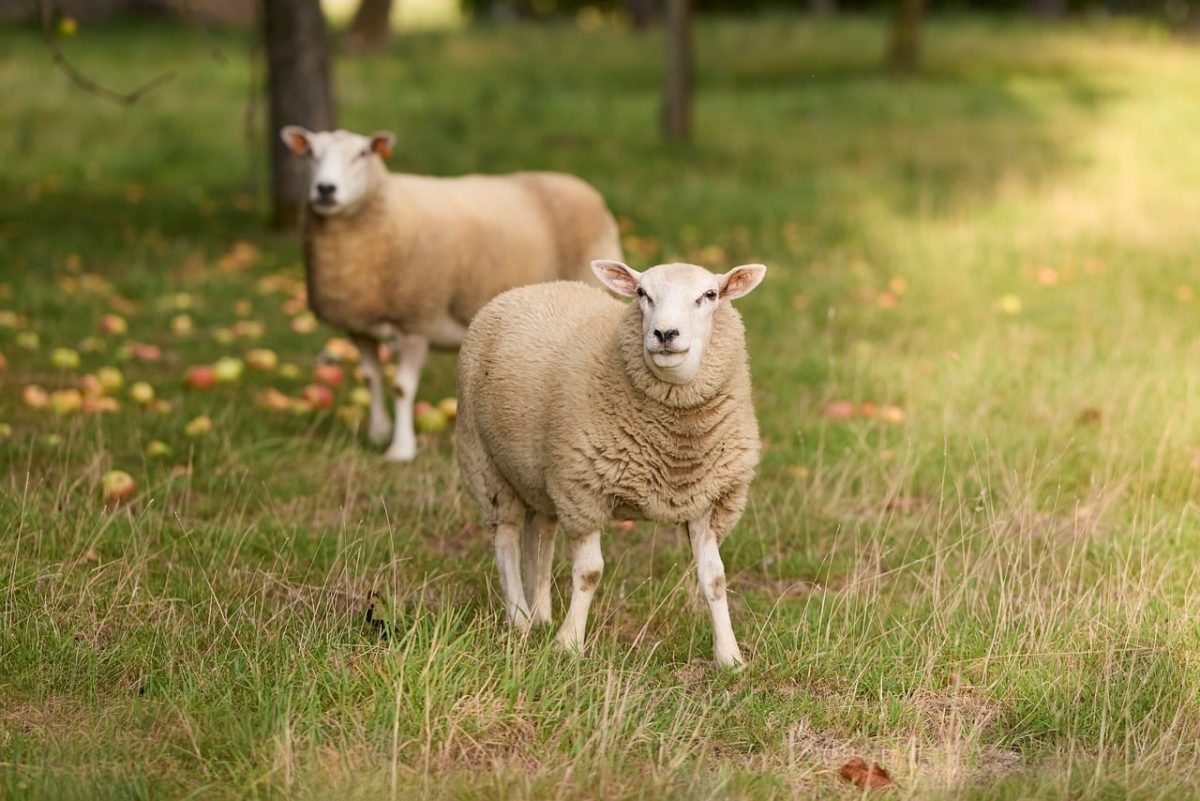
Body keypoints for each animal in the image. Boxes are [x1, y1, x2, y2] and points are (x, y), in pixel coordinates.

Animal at [279, 126, 623, 461]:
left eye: (362, 153)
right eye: (310, 153)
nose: (326, 189)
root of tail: (578, 184)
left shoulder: (417, 319)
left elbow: (402, 388)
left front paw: (401, 449)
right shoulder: (360, 325)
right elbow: (370, 377)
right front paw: (377, 432)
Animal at [456, 259, 766, 667]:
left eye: (709, 295)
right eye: (642, 293)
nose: (665, 333)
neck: (676, 445)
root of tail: (528, 289)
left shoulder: (707, 499)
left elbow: (714, 578)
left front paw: (730, 657)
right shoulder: (584, 489)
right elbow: (589, 573)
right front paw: (569, 644)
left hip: (539, 476)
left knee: (539, 535)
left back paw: (540, 616)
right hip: (485, 463)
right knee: (506, 537)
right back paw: (520, 620)